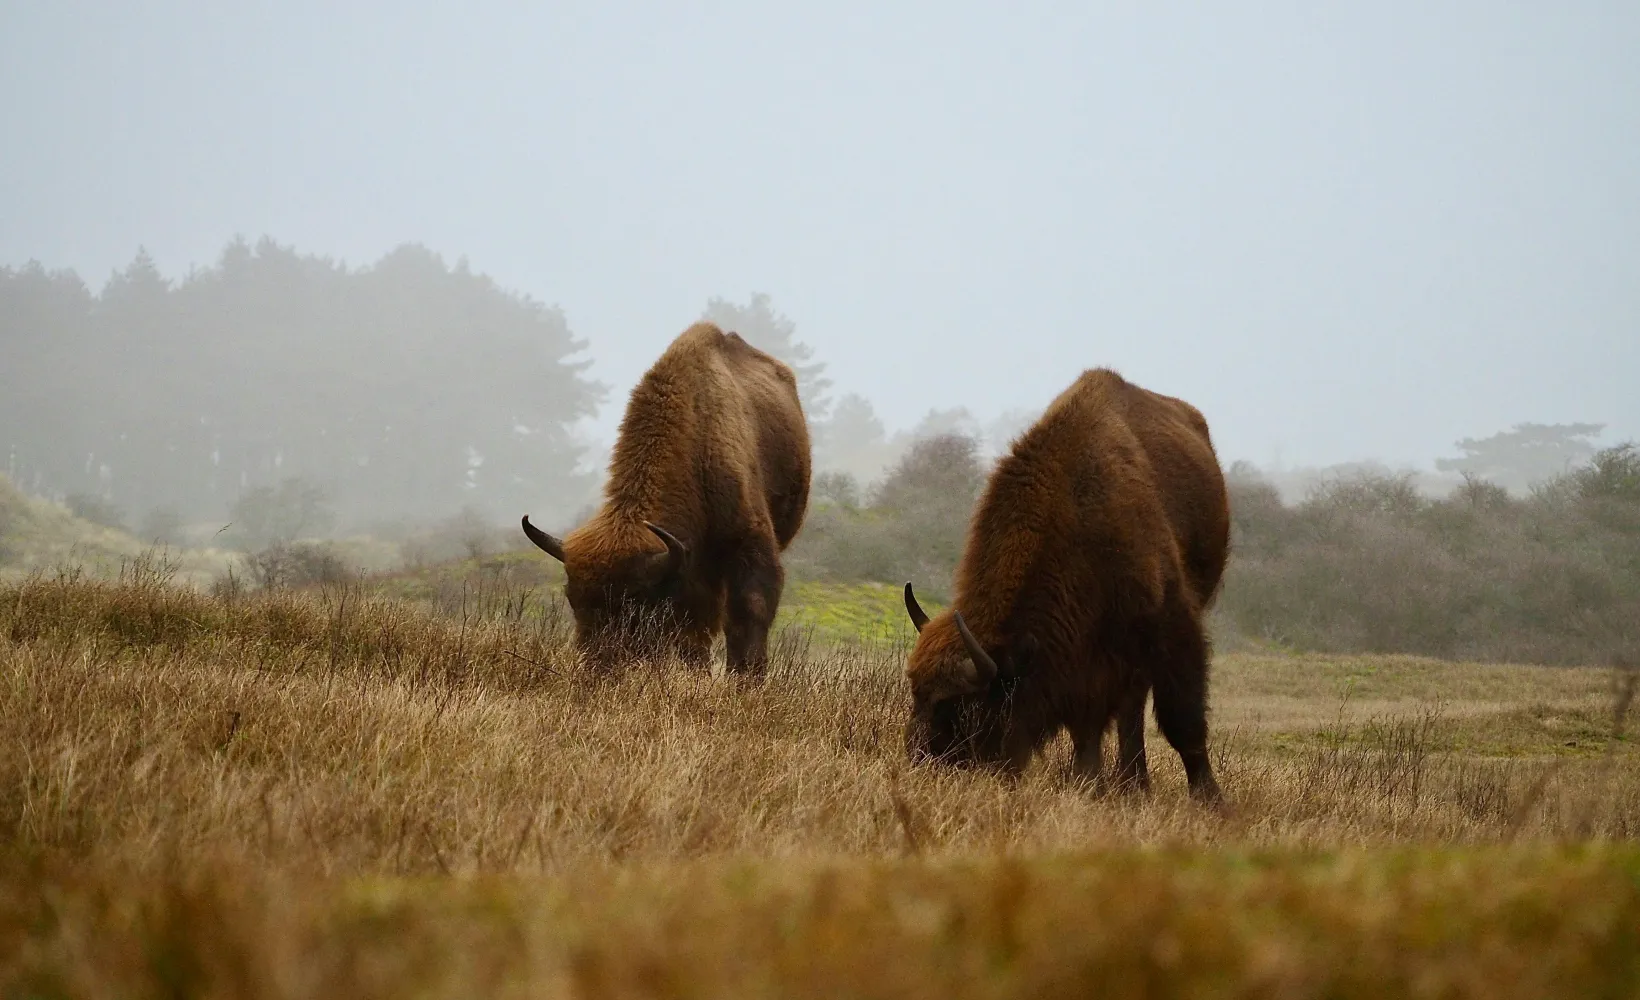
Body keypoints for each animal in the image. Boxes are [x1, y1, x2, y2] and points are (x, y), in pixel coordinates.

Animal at [523, 321, 811, 674]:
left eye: (635, 605)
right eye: (572, 598)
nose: (597, 668)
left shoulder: (748, 545)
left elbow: (748, 613)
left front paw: (746, 678)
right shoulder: (692, 570)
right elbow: (693, 627)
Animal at [902, 368, 1229, 804]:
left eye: (962, 706)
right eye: (916, 693)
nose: (920, 763)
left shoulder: (1171, 628)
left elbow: (1182, 720)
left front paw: (1211, 801)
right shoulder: (1082, 658)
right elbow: (1087, 726)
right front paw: (1088, 783)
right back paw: (1131, 783)